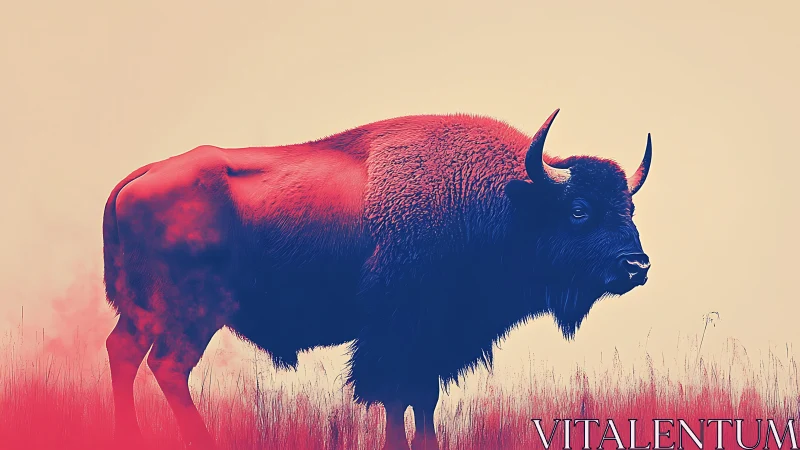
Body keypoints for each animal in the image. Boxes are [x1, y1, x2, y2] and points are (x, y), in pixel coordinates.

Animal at [103, 109, 652, 450]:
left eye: (629, 209)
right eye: (579, 210)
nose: (637, 266)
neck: (503, 200)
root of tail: (139, 178)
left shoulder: (434, 339)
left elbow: (423, 400)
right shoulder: (397, 332)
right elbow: (395, 396)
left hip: (143, 313)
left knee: (123, 352)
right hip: (192, 313)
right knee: (170, 366)